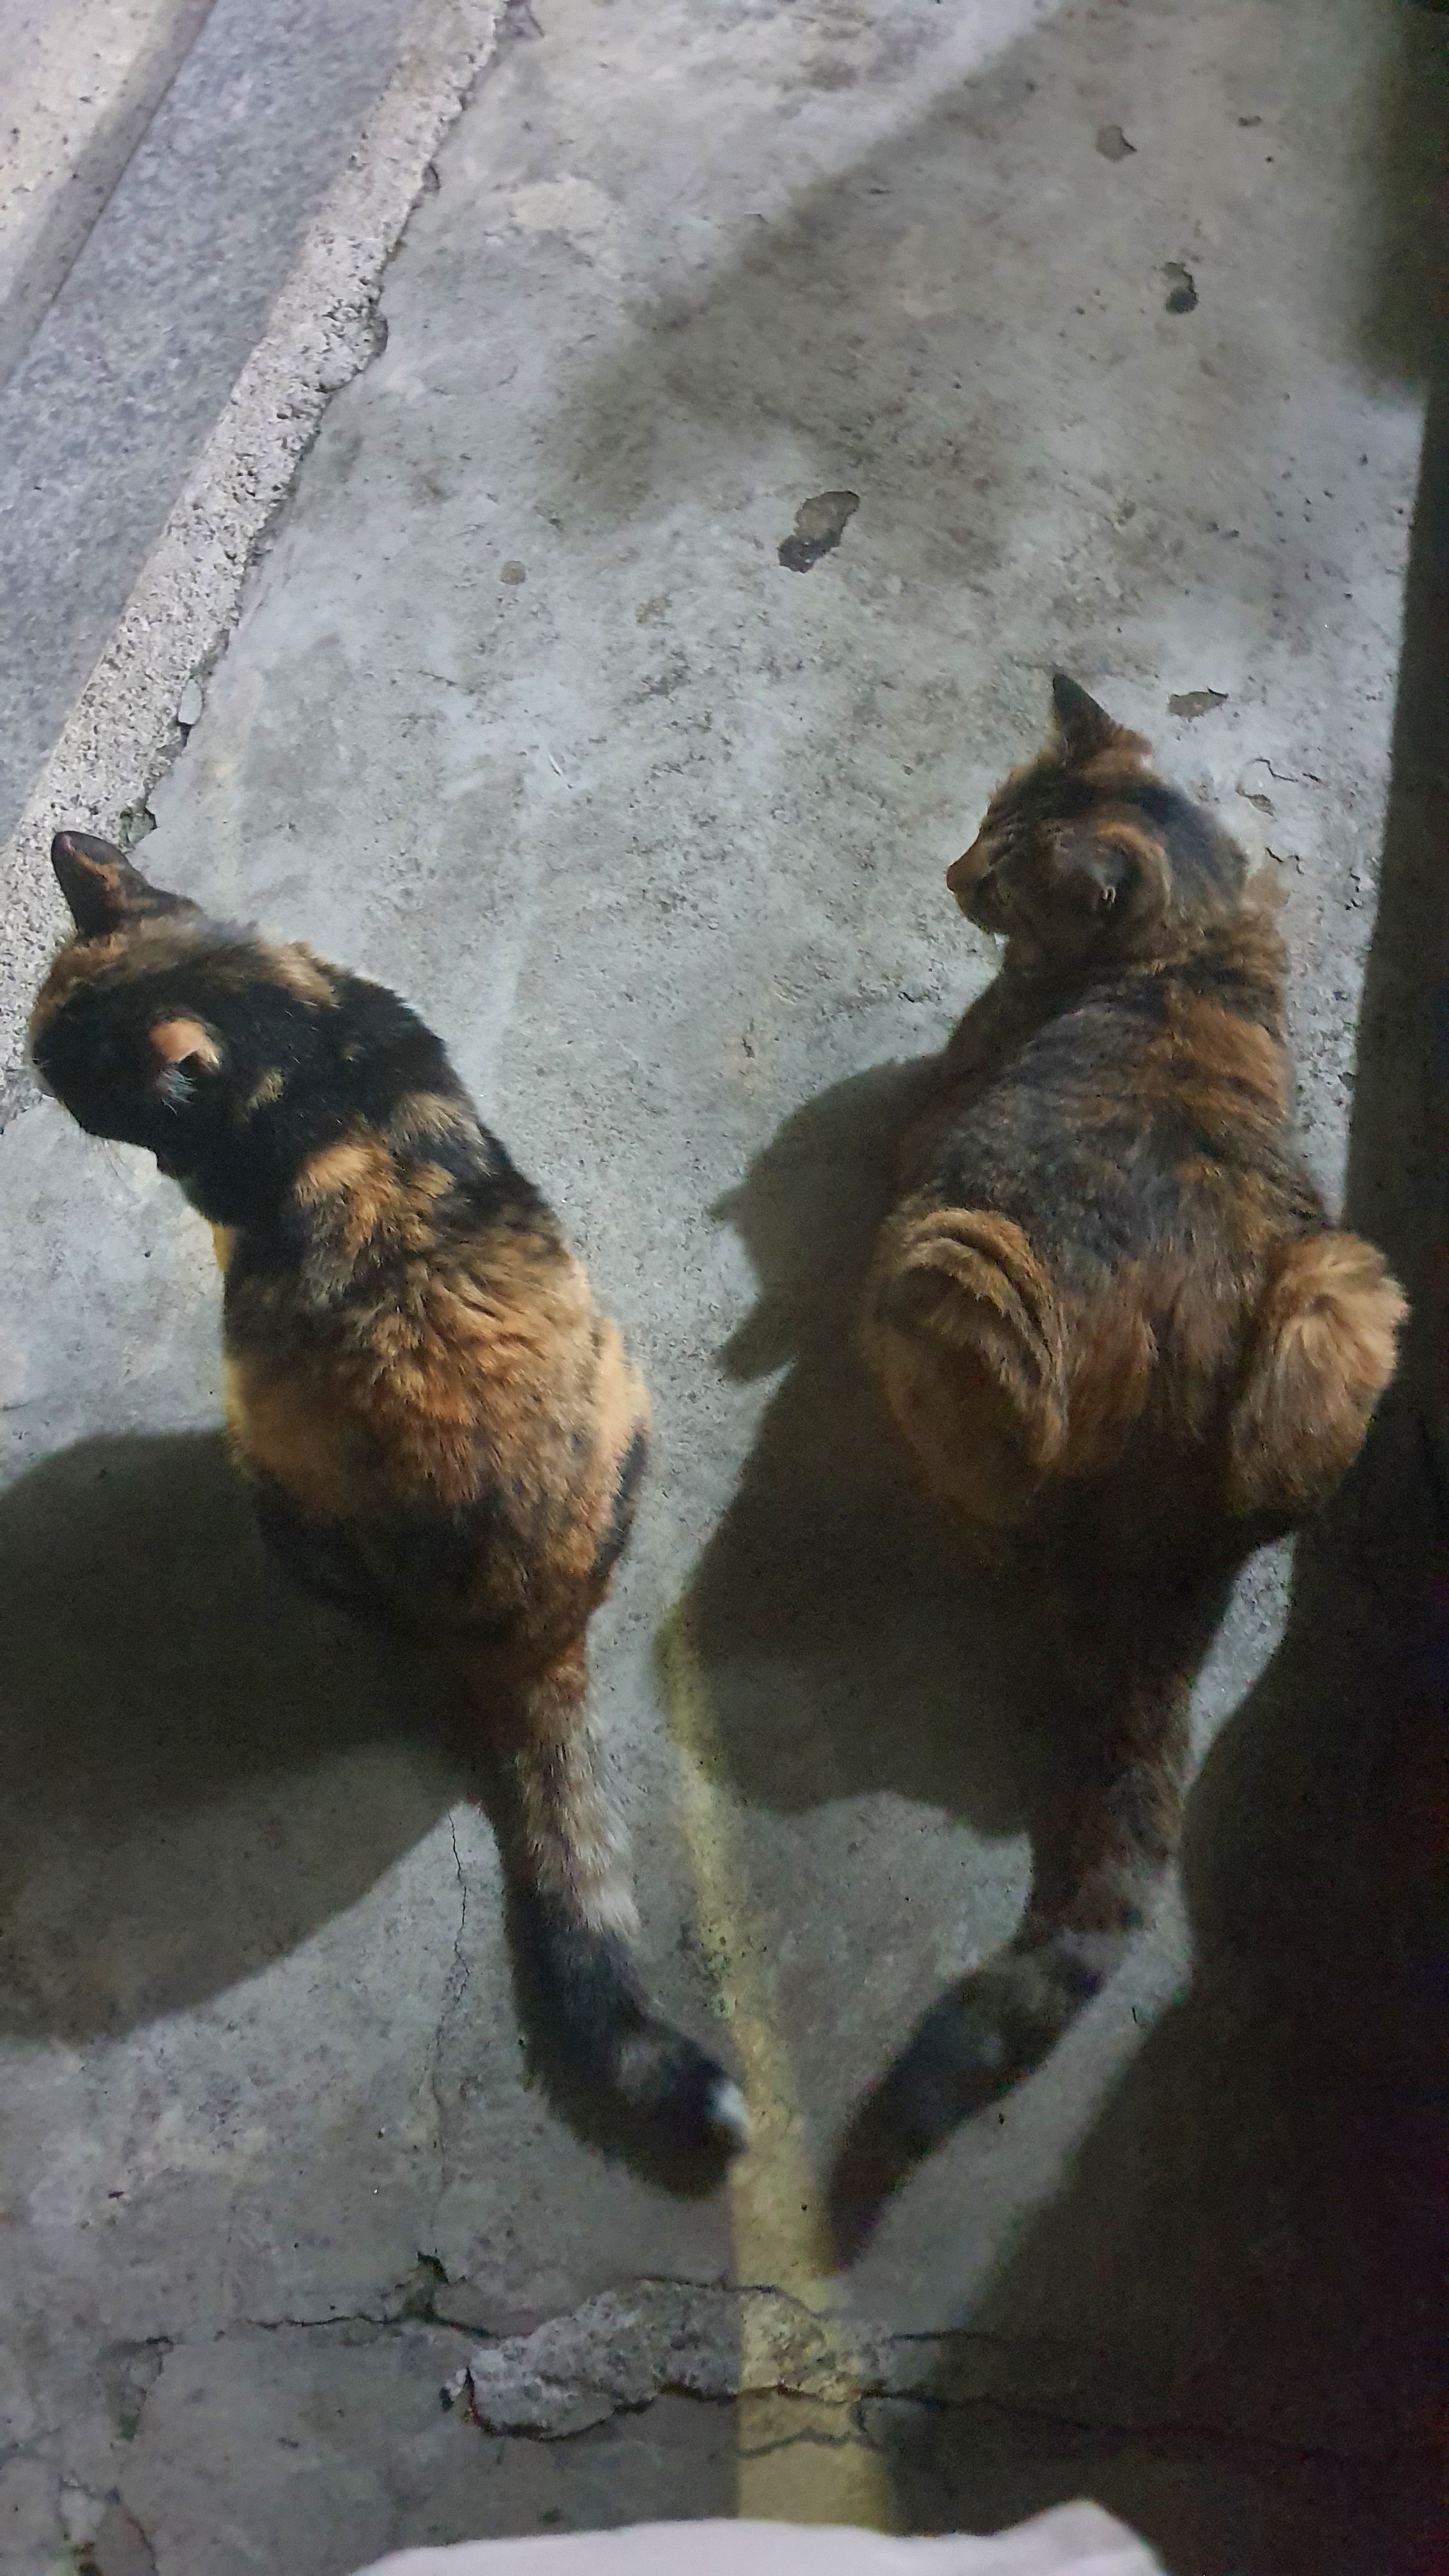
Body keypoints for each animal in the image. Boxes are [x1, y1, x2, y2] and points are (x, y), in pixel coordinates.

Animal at [31, 831, 747, 2162]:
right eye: (47, 1047)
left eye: (79, 1080)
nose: (42, 1084)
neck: (296, 1038)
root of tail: (535, 1634)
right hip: (626, 1386)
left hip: (287, 1507)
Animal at [844, 674, 1405, 2220]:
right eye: (985, 817)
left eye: (1004, 873)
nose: (951, 873)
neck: (1188, 944)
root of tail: (1154, 1546)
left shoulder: (927, 1118)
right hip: (1346, 1293)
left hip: (944, 1265)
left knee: (981, 1507)